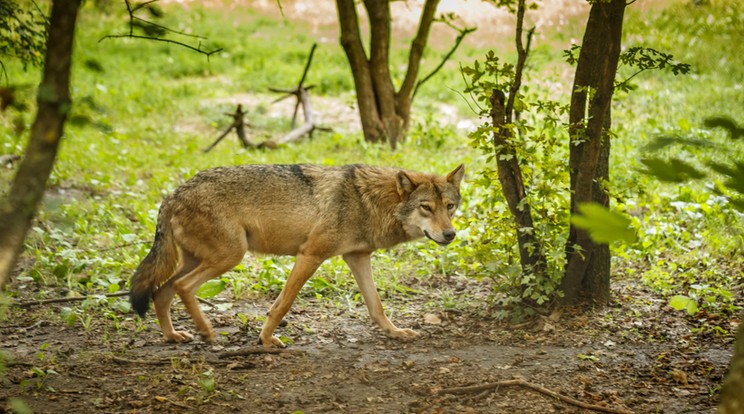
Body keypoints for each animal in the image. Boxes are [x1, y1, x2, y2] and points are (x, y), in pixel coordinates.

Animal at [129, 163, 464, 348]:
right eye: (426, 208)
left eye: (450, 207)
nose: (450, 235)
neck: (368, 201)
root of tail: (172, 195)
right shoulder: (310, 255)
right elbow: (281, 305)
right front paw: (265, 341)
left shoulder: (358, 257)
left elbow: (376, 306)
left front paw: (395, 333)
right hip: (230, 256)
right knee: (182, 287)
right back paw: (208, 333)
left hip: (199, 260)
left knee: (161, 291)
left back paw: (173, 336)